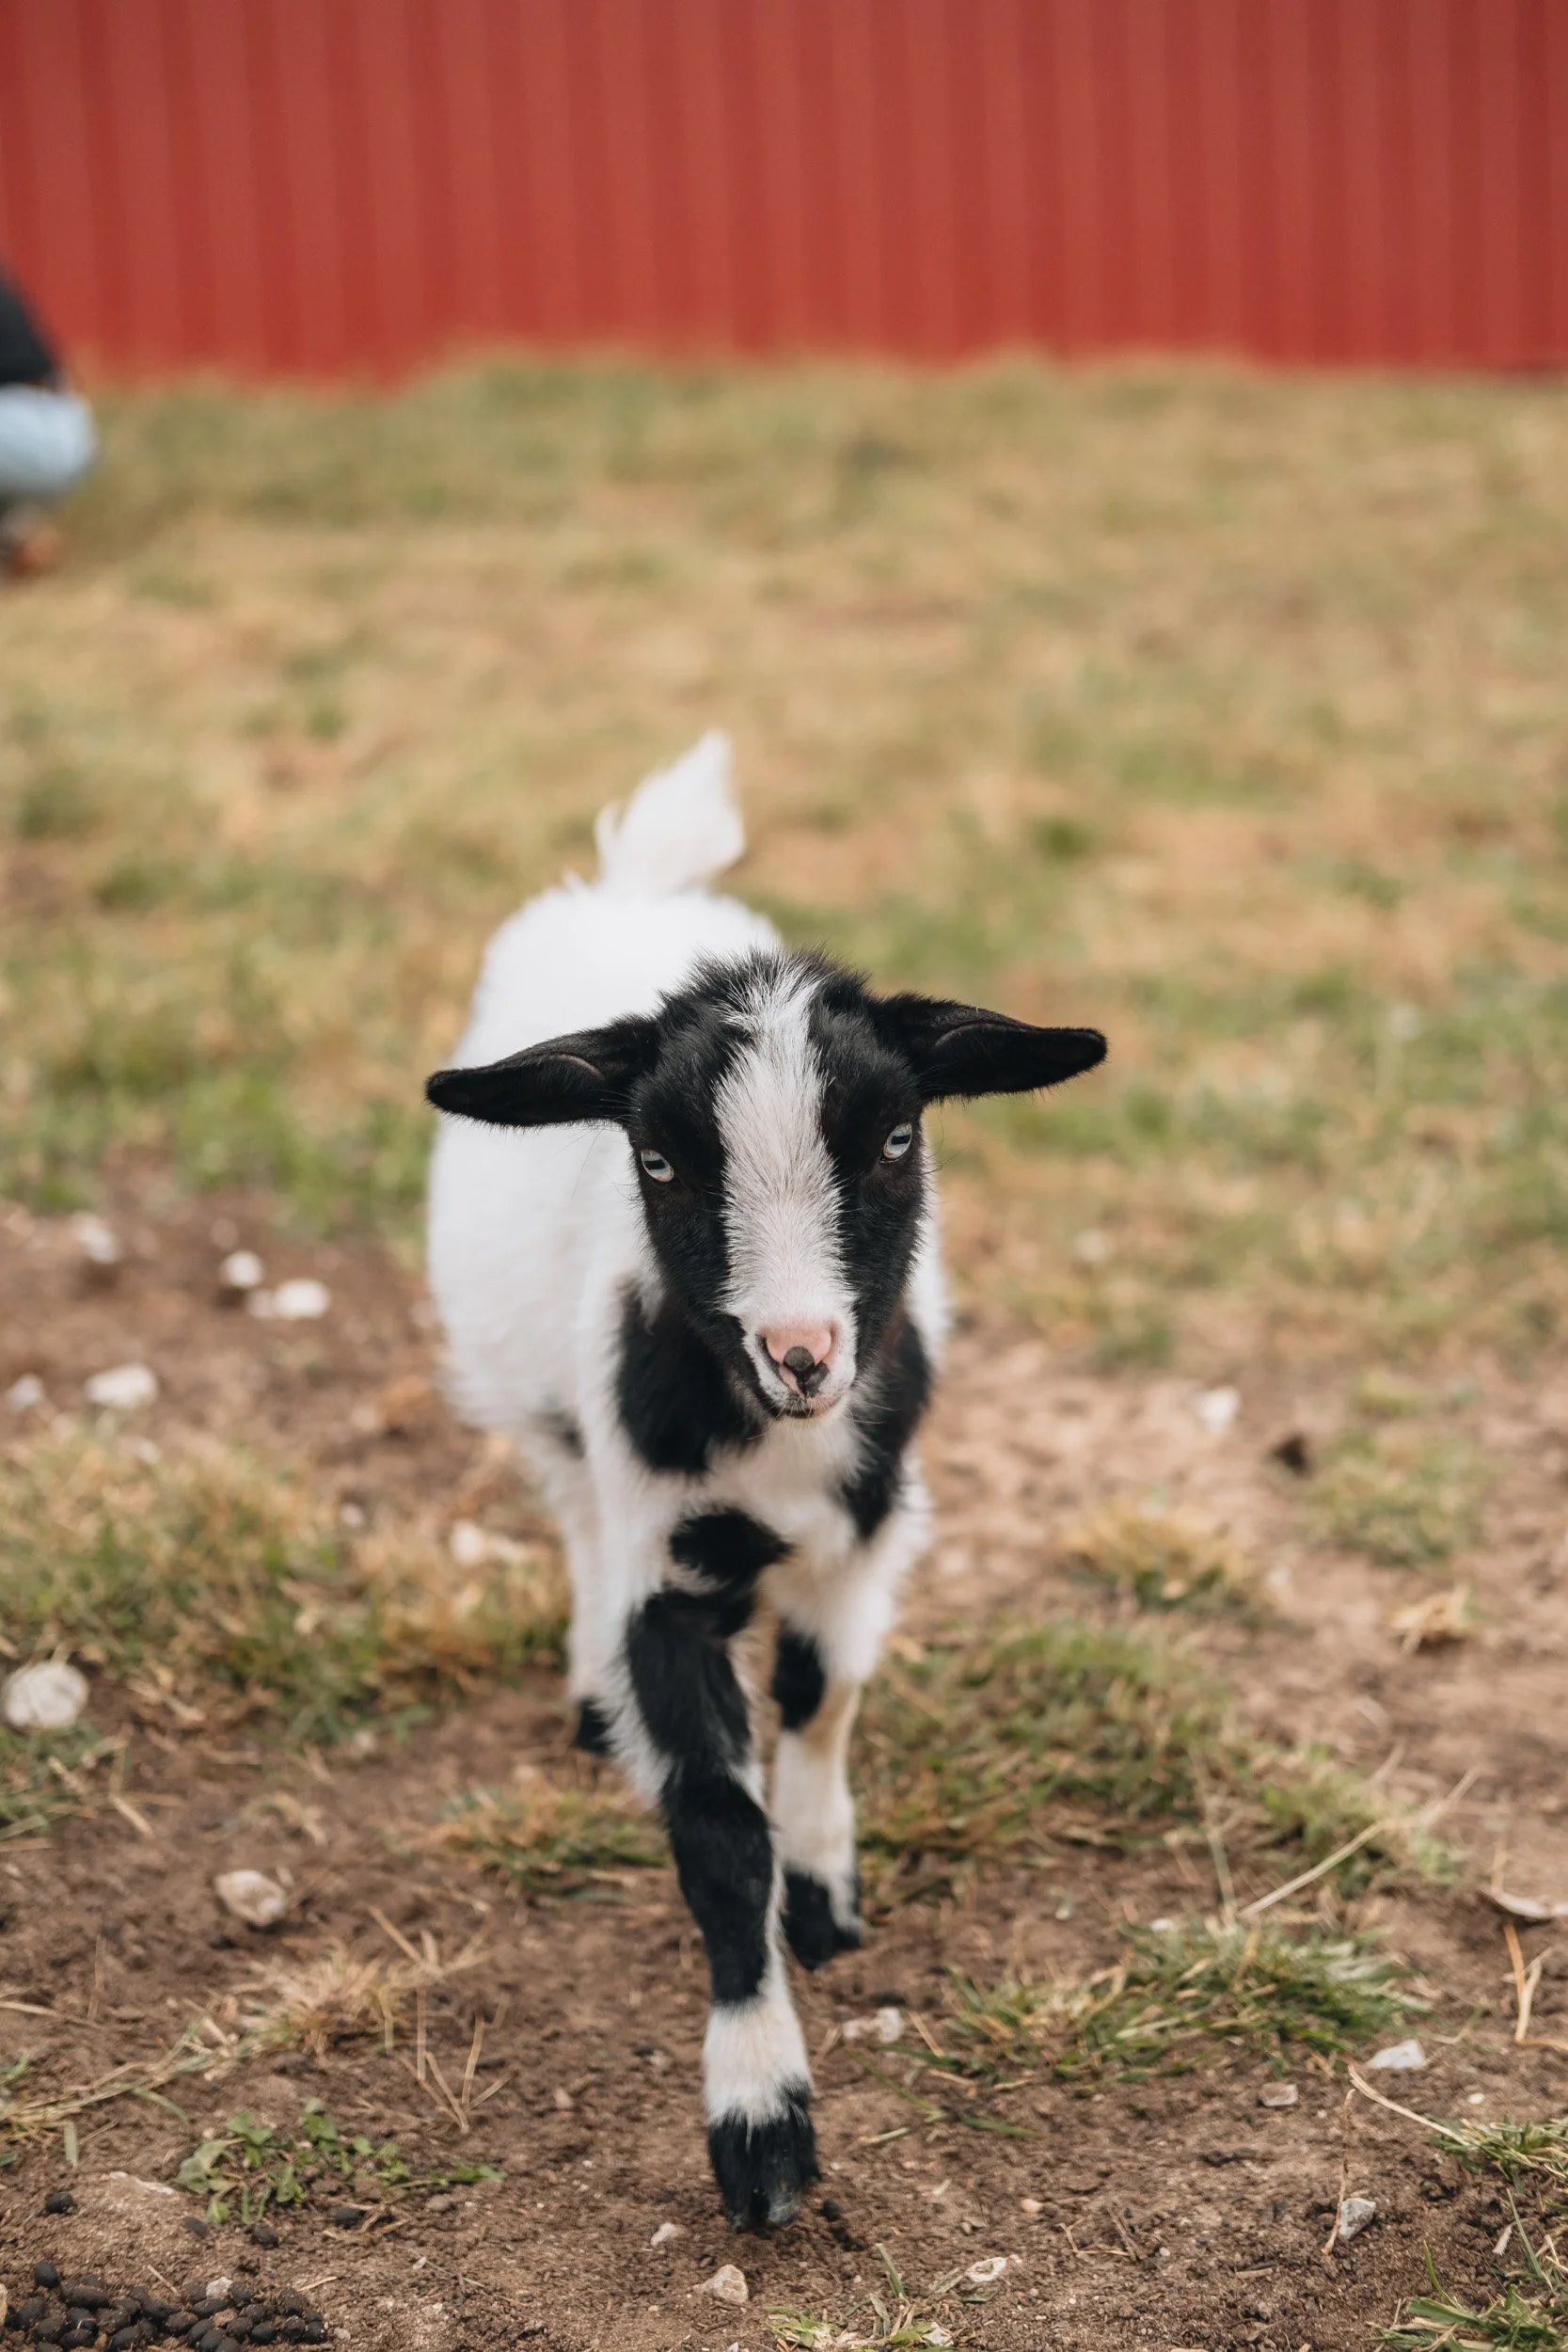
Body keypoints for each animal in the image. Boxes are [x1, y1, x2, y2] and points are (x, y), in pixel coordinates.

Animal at [425, 735, 1105, 2228]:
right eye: (658, 1158)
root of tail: (638, 884)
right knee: (570, 1513)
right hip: (540, 1411)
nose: (800, 1354)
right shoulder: (665, 1574)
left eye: (897, 1139)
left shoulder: (872, 1523)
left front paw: (824, 1881)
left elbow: (819, 1692)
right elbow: (713, 1833)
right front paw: (760, 2118)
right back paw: (591, 1700)